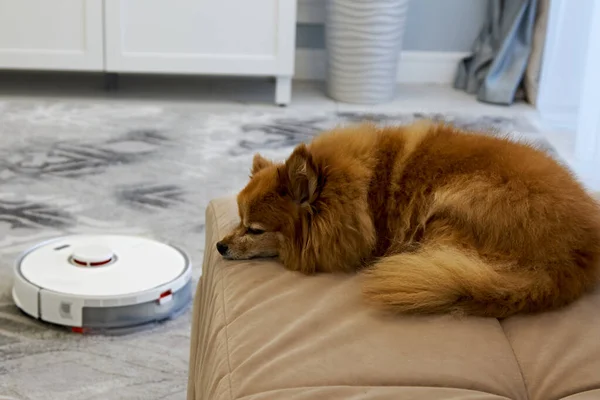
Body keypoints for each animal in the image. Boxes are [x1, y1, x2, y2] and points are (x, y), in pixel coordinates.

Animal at [218, 122, 600, 318]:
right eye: (238, 219)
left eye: (254, 230)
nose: (219, 246)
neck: (366, 194)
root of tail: (574, 259)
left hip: (450, 203)